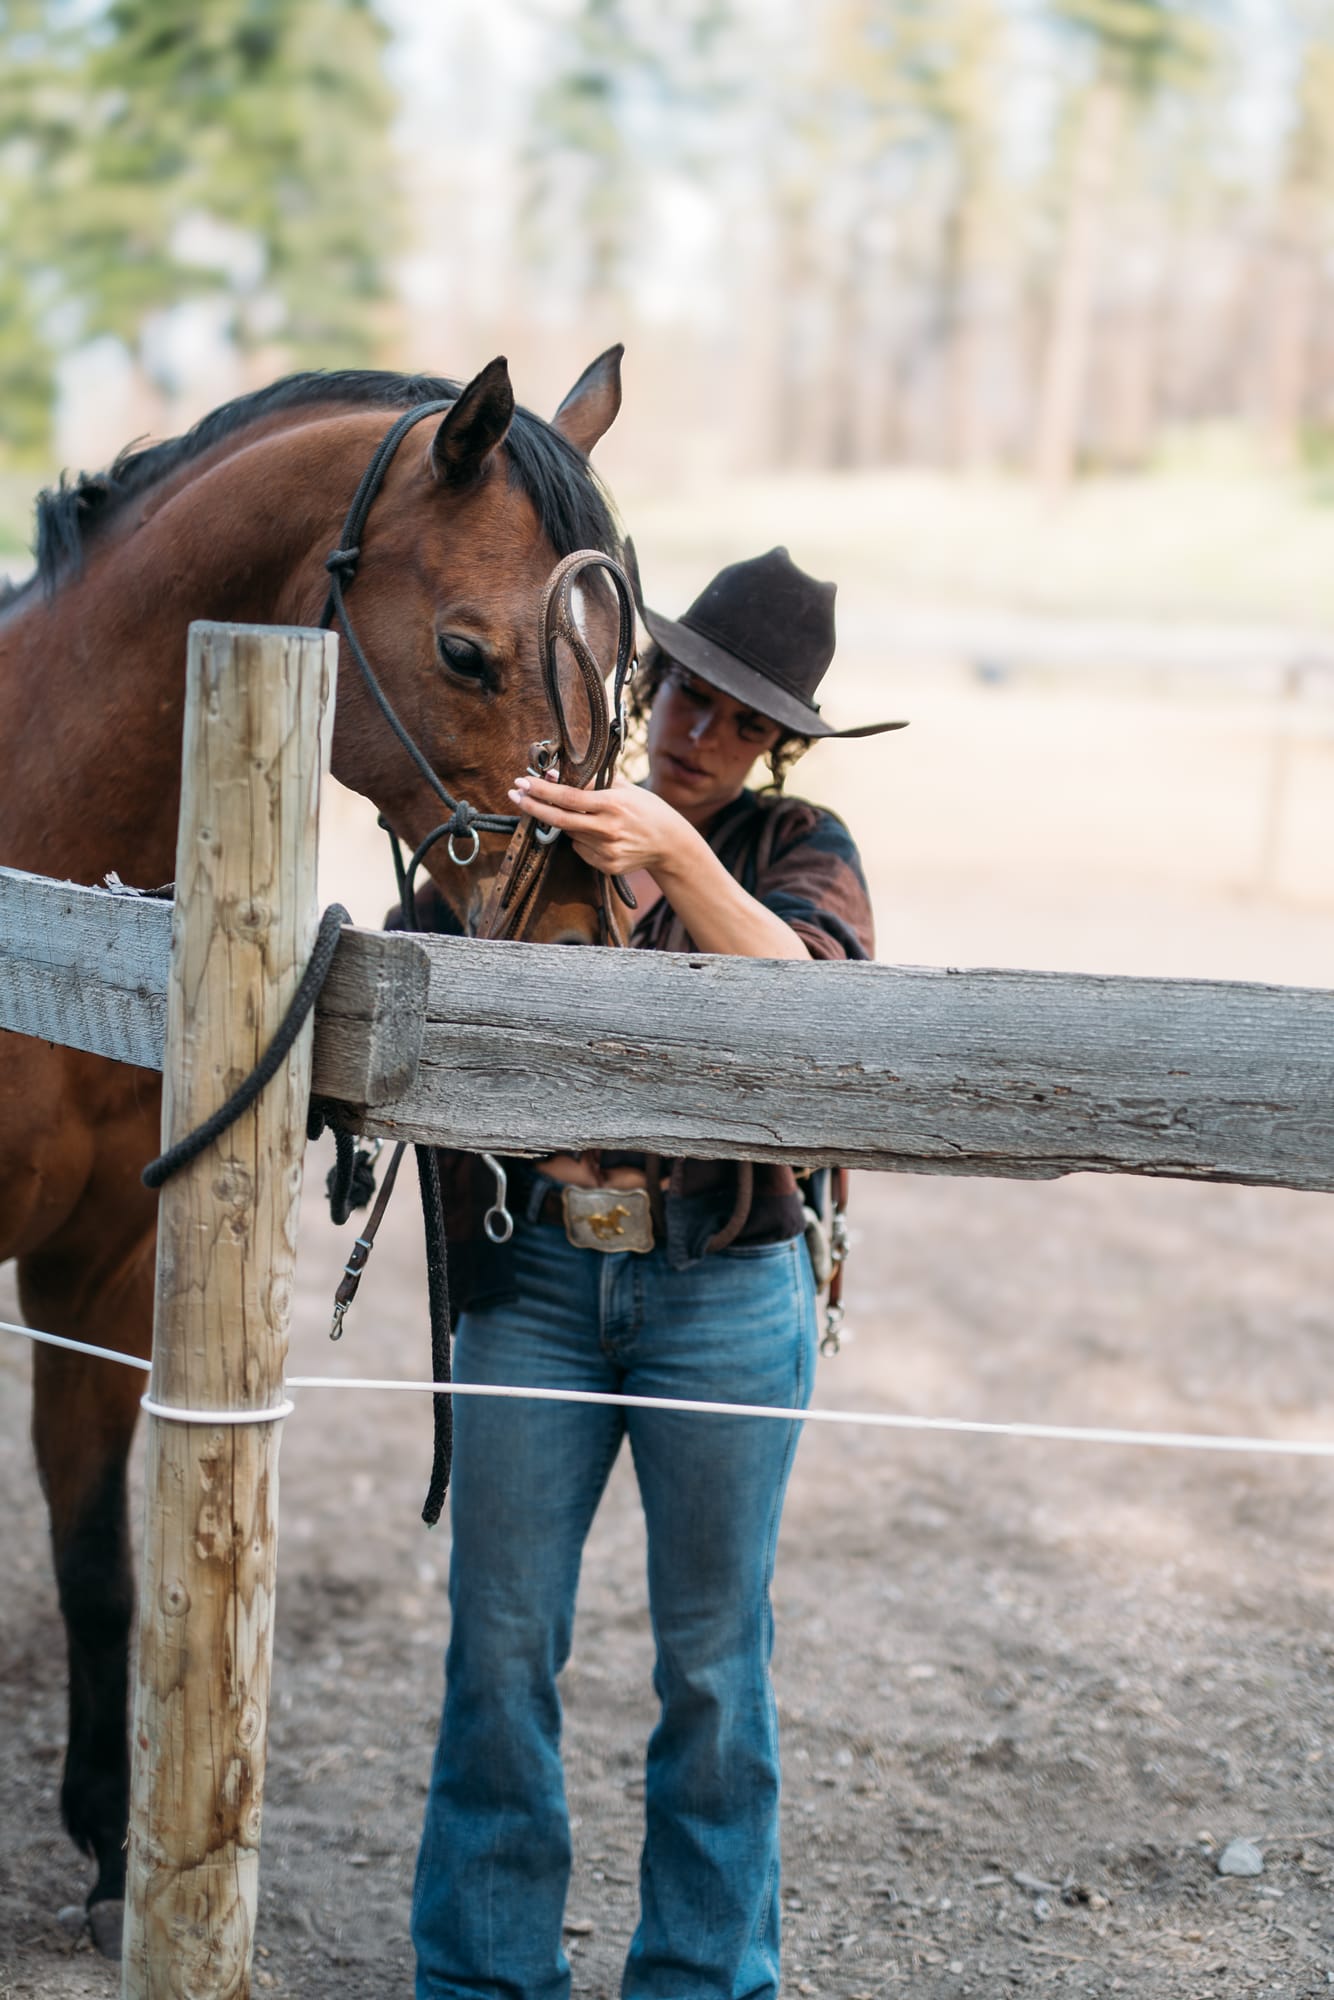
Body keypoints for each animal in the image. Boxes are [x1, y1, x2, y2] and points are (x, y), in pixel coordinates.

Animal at [0, 349, 628, 1953]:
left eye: (617, 666)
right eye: (467, 652)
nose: (580, 936)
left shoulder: (103, 1270)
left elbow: (99, 1564)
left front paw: (111, 1840)